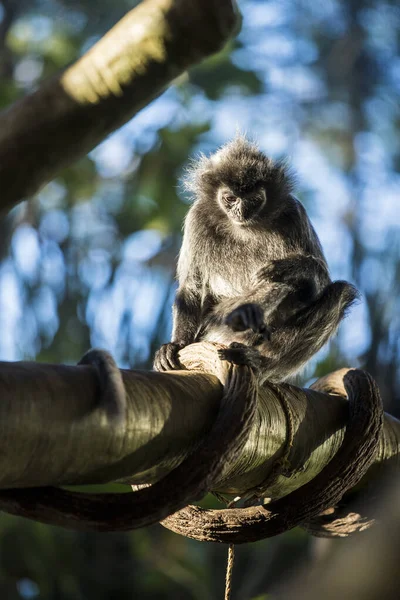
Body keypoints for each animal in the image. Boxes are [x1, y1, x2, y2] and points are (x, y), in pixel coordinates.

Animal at [152, 137, 356, 382]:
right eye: (230, 199)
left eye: (255, 199)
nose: (241, 212)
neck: (244, 229)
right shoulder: (197, 217)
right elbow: (192, 286)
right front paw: (176, 344)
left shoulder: (294, 212)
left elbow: (321, 280)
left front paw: (290, 268)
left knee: (339, 292)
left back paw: (257, 361)